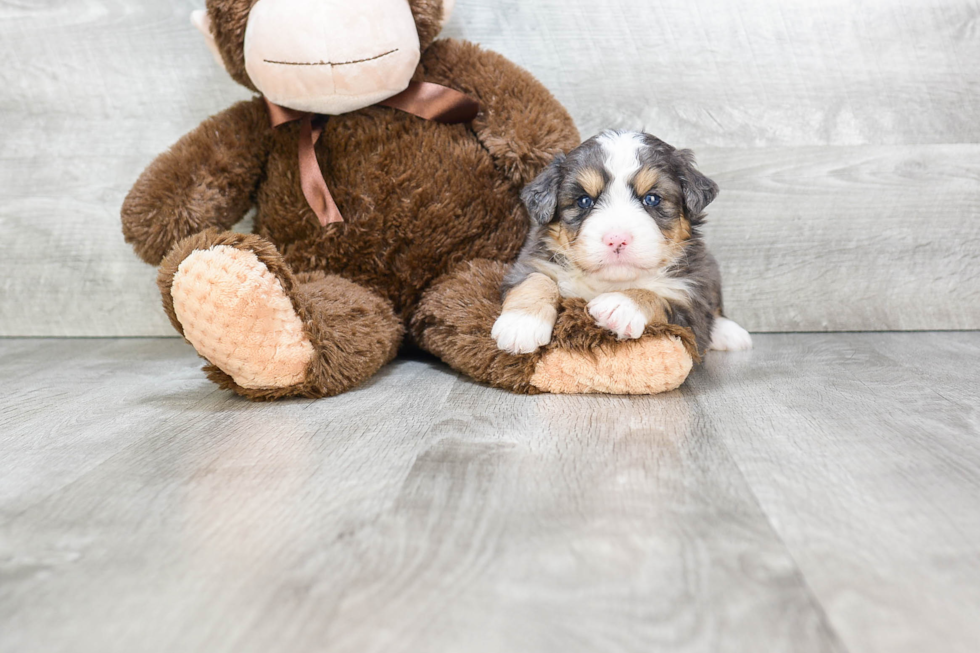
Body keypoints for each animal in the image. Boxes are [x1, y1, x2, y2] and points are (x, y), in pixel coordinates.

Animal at [490, 129, 752, 356]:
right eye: (584, 201)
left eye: (652, 199)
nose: (617, 239)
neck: (610, 282)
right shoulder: (530, 262)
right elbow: (536, 280)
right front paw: (521, 325)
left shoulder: (691, 301)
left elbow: (661, 296)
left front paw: (621, 305)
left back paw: (730, 333)